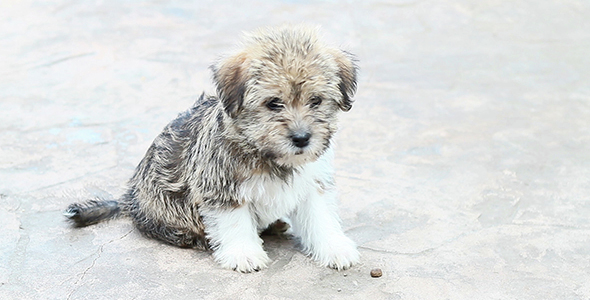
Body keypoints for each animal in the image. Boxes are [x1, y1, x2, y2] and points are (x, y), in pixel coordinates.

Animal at [65, 25, 360, 272]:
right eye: (273, 103)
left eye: (316, 100)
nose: (301, 138)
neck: (267, 155)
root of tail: (129, 198)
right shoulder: (222, 189)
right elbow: (235, 222)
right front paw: (244, 254)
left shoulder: (312, 183)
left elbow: (321, 218)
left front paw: (335, 248)